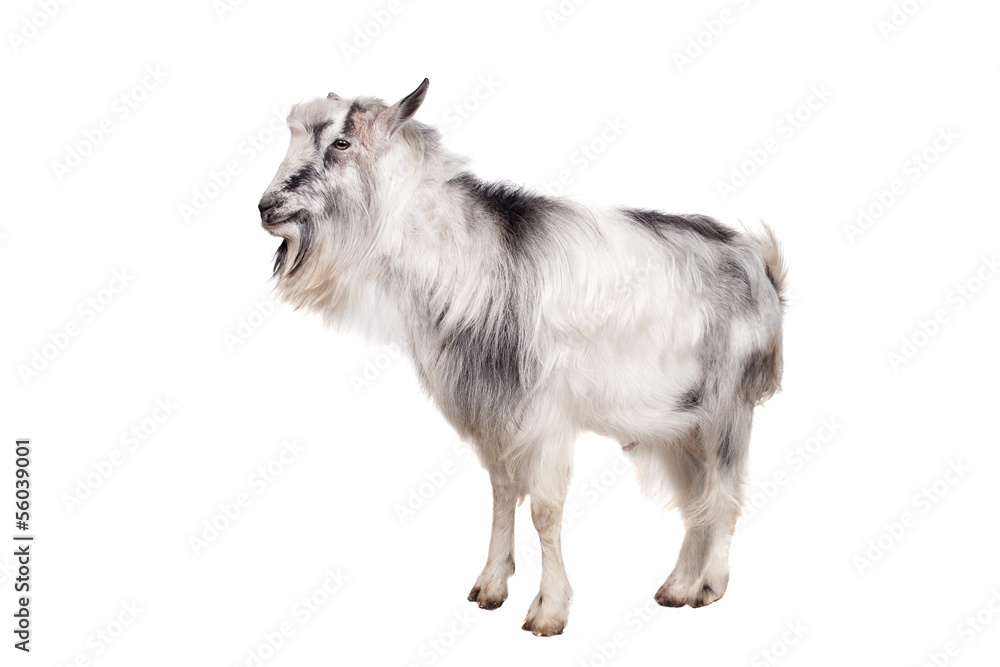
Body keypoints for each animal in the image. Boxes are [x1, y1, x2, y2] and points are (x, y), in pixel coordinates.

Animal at [258, 79, 786, 637]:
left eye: (341, 142)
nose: (266, 208)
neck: (476, 258)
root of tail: (760, 264)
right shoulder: (496, 412)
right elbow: (502, 494)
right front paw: (490, 586)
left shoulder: (546, 415)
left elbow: (545, 510)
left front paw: (548, 610)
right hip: (678, 421)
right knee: (696, 499)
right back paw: (677, 587)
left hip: (727, 407)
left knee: (725, 492)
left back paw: (709, 586)